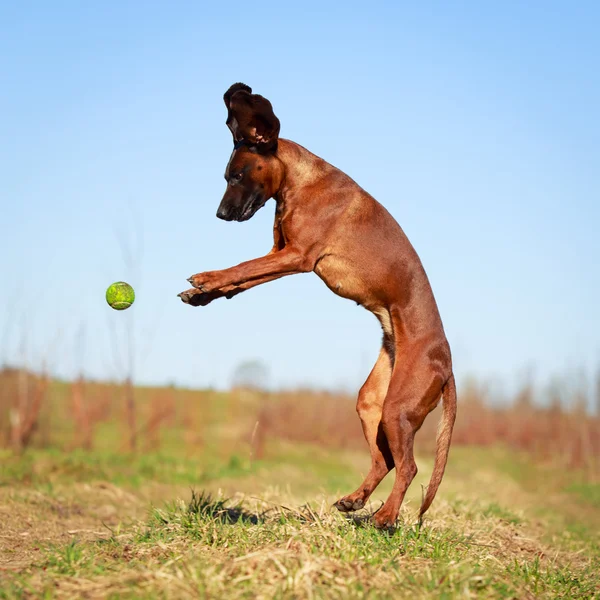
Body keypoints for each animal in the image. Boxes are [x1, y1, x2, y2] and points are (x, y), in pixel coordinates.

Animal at [177, 82, 454, 528]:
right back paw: (355, 501)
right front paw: (203, 296)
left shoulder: (297, 257)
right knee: (386, 461)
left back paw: (385, 517)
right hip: (372, 403)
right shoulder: (281, 254)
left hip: (399, 407)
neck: (300, 182)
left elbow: (240, 267)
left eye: (236, 175)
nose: (220, 214)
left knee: (409, 466)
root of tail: (447, 364)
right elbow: (243, 279)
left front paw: (204, 279)